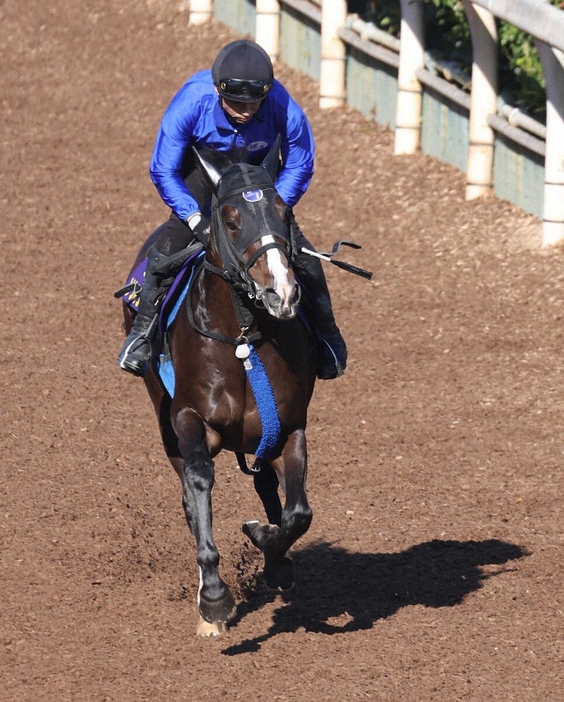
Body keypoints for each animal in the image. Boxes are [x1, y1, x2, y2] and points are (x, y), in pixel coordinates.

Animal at [122, 143, 318, 640]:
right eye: (230, 219)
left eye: (284, 211)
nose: (282, 292)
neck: (242, 340)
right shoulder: (189, 420)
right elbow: (198, 485)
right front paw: (213, 598)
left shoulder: (288, 427)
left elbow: (297, 512)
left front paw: (269, 548)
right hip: (162, 415)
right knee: (190, 499)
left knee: (268, 486)